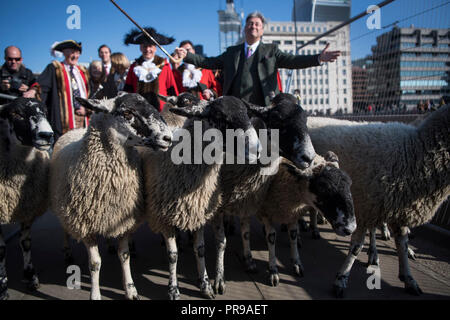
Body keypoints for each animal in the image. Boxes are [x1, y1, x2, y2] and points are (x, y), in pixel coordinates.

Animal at [0, 97, 54, 300]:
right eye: (16, 113)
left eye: (45, 112)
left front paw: (31, 276)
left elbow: (26, 242)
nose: (47, 135)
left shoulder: (26, 207)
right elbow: (1, 251)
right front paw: (3, 287)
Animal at [49, 92, 172, 300]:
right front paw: (95, 294)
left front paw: (131, 289)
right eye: (127, 112)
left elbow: (125, 256)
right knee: (65, 229)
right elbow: (95, 264)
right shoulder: (86, 225)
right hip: (65, 209)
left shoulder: (122, 221)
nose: (168, 138)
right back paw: (67, 252)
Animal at [306, 105, 450, 298]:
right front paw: (341, 279)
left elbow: (402, 244)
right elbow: (356, 247)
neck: (415, 149)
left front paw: (408, 278)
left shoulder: (394, 209)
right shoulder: (367, 208)